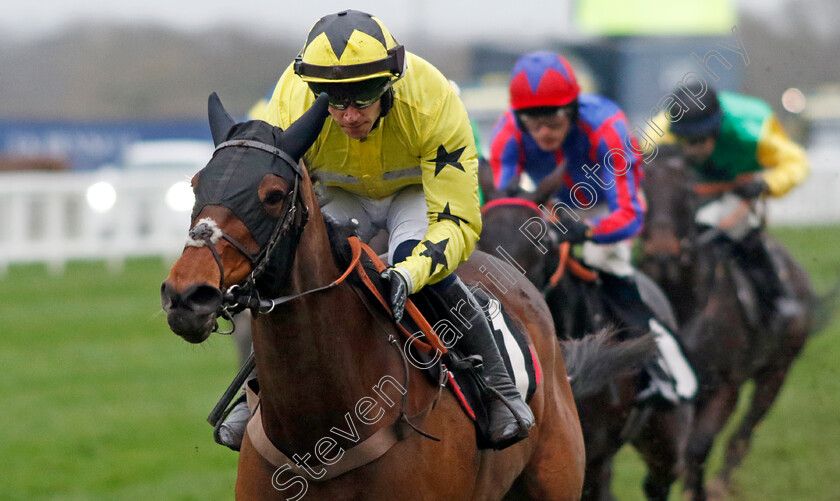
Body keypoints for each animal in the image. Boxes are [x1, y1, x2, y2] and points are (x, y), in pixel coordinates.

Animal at [640, 149, 816, 500]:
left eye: (685, 193)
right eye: (642, 190)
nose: (662, 255)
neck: (682, 306)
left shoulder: (724, 385)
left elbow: (697, 449)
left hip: (778, 367)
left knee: (745, 431)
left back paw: (721, 483)